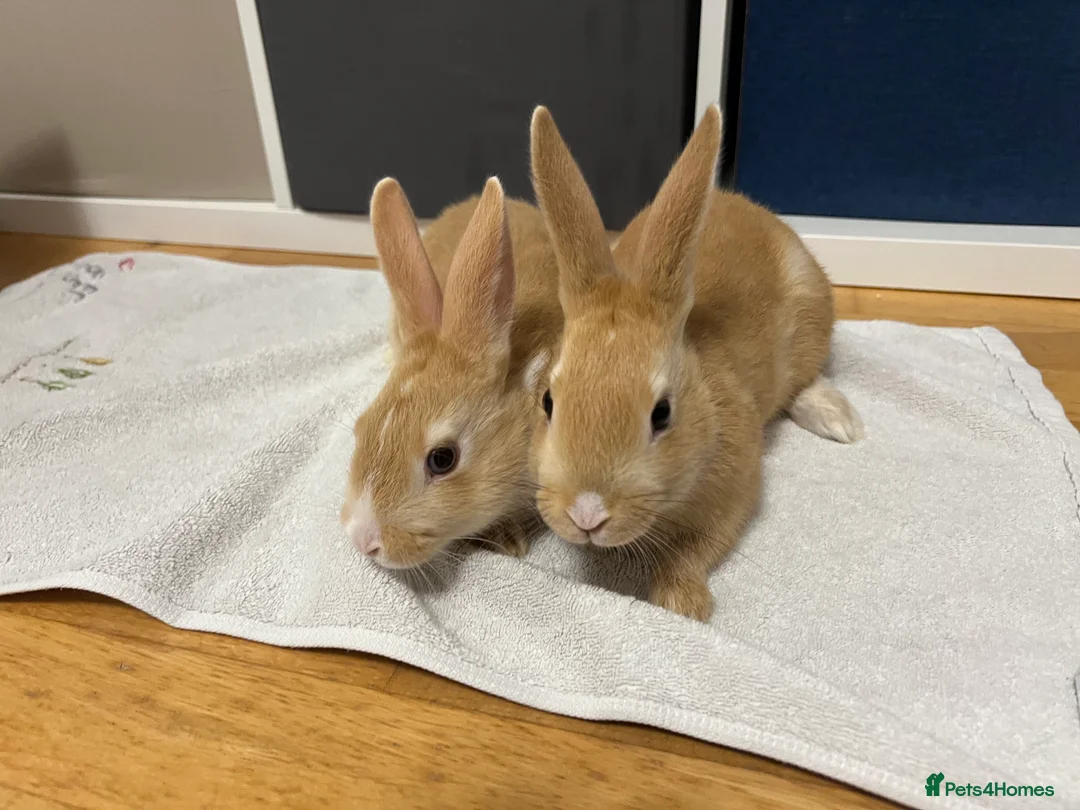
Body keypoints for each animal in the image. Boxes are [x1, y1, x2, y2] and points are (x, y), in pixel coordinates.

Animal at [527, 103, 863, 620]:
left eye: (662, 414)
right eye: (547, 401)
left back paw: (838, 420)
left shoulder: (735, 490)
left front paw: (680, 604)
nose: (587, 513)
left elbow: (697, 549)